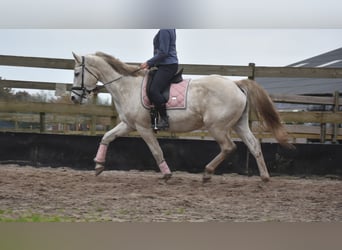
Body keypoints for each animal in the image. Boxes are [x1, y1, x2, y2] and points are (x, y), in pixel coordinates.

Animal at [71, 52, 292, 182]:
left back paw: (207, 172)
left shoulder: (143, 127)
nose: (74, 97)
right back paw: (264, 177)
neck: (127, 87)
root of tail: (236, 84)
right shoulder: (128, 124)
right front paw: (98, 165)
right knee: (254, 145)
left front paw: (167, 174)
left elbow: (156, 151)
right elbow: (107, 137)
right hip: (239, 124)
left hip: (217, 127)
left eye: (76, 73)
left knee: (229, 147)